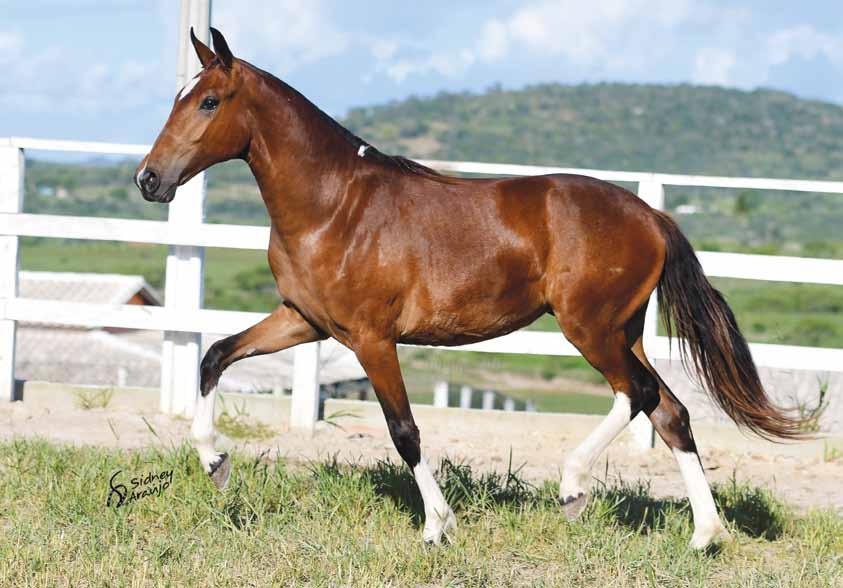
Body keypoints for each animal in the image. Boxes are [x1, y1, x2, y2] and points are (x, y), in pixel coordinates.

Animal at [137, 29, 804, 548]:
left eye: (209, 102)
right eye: (177, 99)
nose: (149, 179)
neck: (334, 207)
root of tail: (652, 216)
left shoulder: (371, 339)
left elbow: (404, 432)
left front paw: (438, 526)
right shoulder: (305, 320)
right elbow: (215, 355)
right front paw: (215, 462)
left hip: (588, 327)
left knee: (635, 394)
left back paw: (572, 487)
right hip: (624, 330)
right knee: (670, 411)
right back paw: (703, 535)